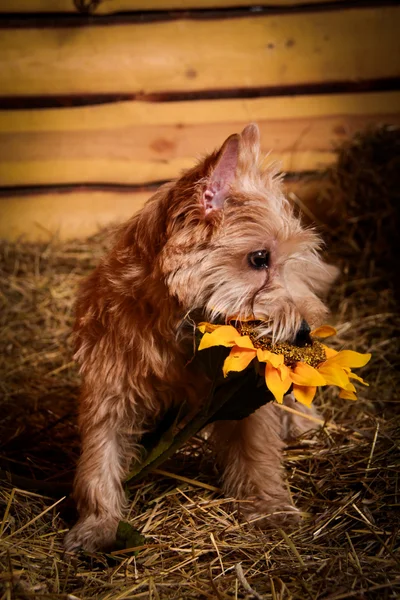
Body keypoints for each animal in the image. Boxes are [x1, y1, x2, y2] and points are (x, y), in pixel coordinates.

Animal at [63, 124, 338, 552]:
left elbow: (257, 449)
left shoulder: (241, 392)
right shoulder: (109, 390)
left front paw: (270, 508)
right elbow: (98, 459)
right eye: (259, 258)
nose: (304, 333)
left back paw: (304, 425)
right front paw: (97, 524)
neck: (178, 330)